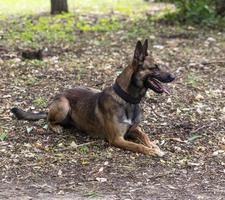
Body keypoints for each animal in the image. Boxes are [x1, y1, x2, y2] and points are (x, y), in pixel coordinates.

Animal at [11, 39, 175, 156]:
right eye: (154, 67)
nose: (174, 76)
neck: (127, 99)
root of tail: (60, 95)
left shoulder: (134, 130)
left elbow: (145, 136)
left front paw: (153, 145)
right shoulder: (117, 139)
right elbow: (138, 145)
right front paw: (151, 150)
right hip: (64, 105)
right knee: (48, 120)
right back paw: (56, 127)